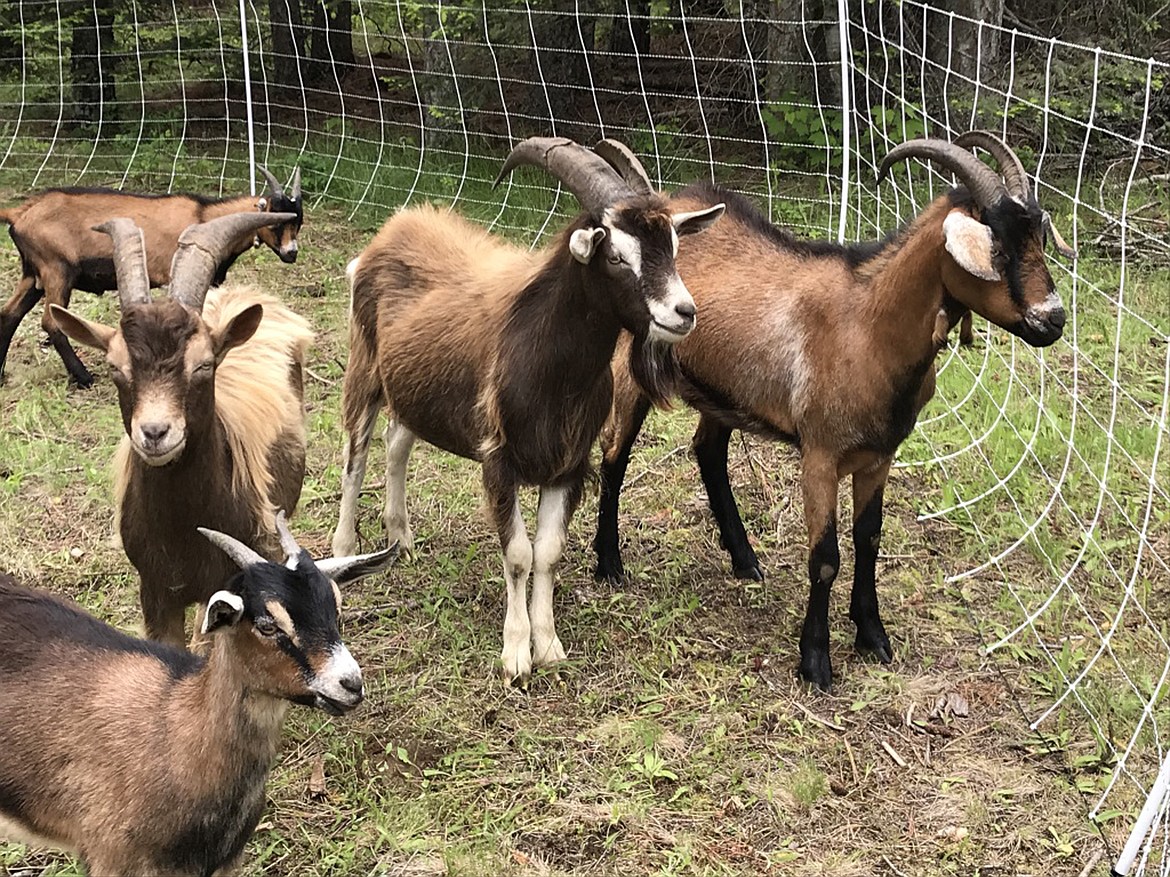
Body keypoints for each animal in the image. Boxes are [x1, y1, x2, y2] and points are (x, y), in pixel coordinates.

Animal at [1, 166, 301, 385]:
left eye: (298, 223)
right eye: (275, 223)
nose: (292, 253)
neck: (205, 216)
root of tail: (19, 213)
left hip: (33, 274)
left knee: (9, 314)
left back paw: (3, 375)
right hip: (57, 269)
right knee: (51, 323)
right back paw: (84, 377)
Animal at [49, 209, 315, 650]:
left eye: (204, 364)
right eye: (115, 367)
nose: (156, 433)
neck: (182, 533)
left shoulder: (224, 587)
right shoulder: (155, 590)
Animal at [329, 137, 725, 687]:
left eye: (674, 247)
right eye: (616, 255)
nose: (683, 313)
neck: (548, 368)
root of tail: (393, 229)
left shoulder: (569, 465)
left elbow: (549, 552)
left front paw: (550, 645)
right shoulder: (499, 460)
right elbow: (518, 554)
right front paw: (516, 654)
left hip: (413, 387)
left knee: (397, 445)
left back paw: (401, 539)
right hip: (364, 370)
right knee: (355, 455)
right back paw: (345, 552)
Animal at [599, 130, 1071, 692]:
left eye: (1039, 237)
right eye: (997, 246)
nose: (1053, 320)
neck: (867, 326)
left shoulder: (879, 455)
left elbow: (868, 540)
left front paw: (872, 634)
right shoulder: (820, 455)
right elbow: (825, 558)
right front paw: (815, 660)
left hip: (725, 390)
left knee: (707, 452)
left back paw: (744, 559)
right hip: (633, 373)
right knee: (615, 456)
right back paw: (609, 563)